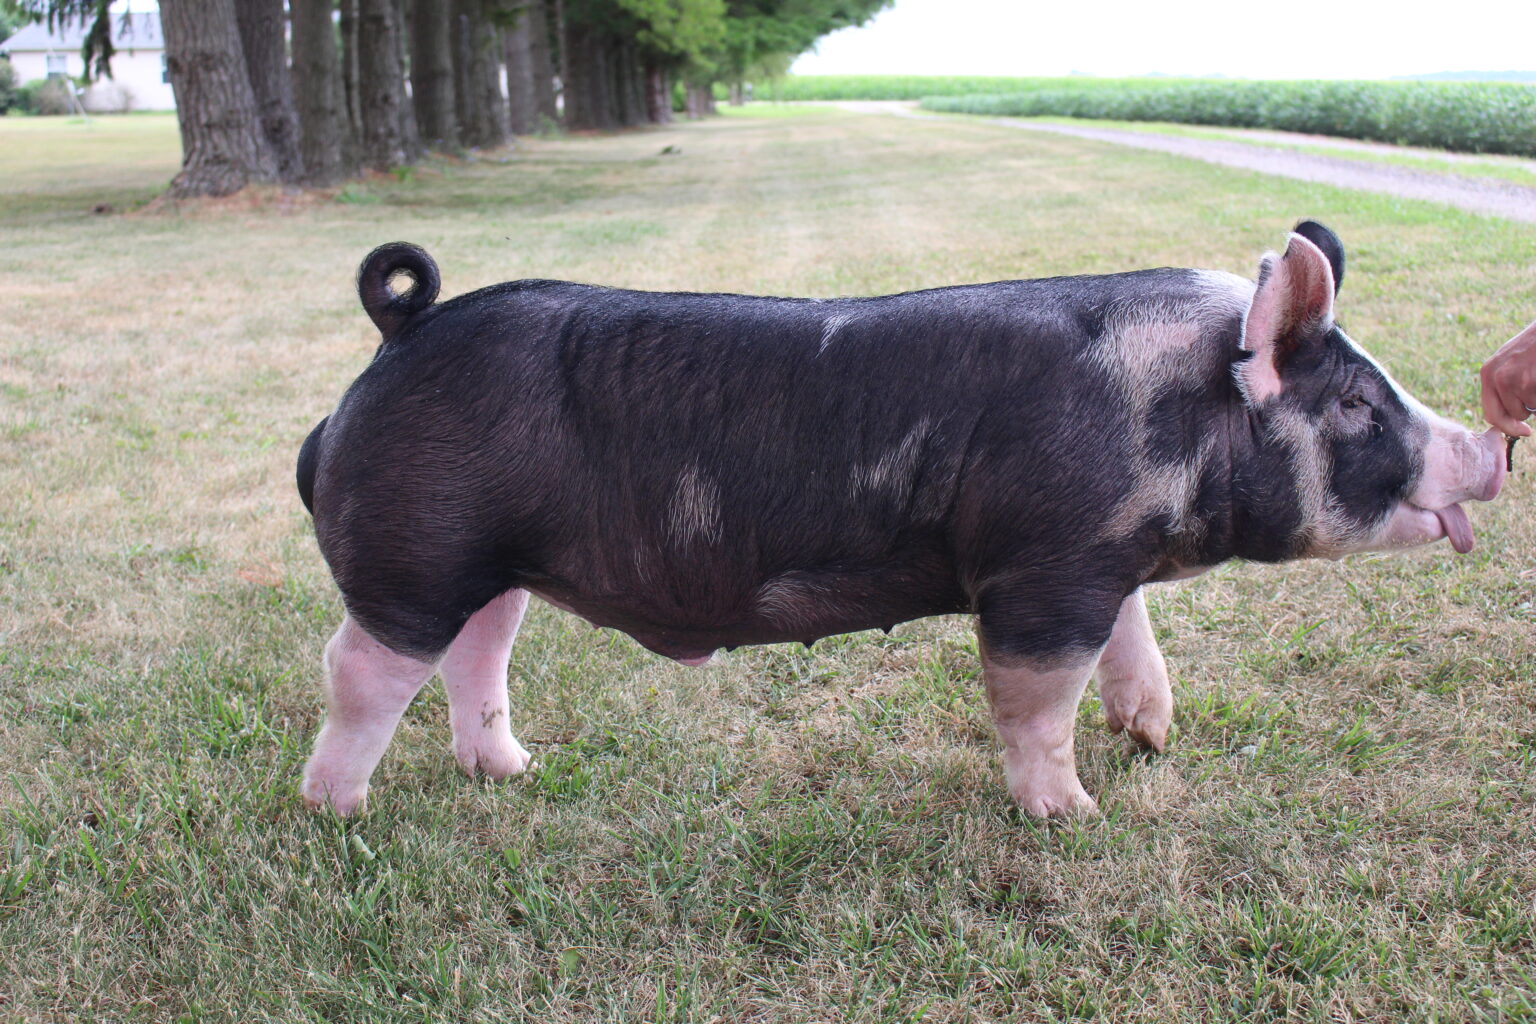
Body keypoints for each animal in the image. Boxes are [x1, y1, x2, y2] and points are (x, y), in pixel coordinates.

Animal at [295, 221, 1505, 817]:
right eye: (1355, 406)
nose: (1491, 449)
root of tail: (400, 335)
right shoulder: (1041, 572)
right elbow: (1034, 698)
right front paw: (1074, 816)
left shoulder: (1097, 561)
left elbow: (1135, 644)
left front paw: (1152, 739)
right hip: (415, 551)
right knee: (361, 669)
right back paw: (338, 815)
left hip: (491, 563)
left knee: (478, 654)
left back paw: (513, 774)